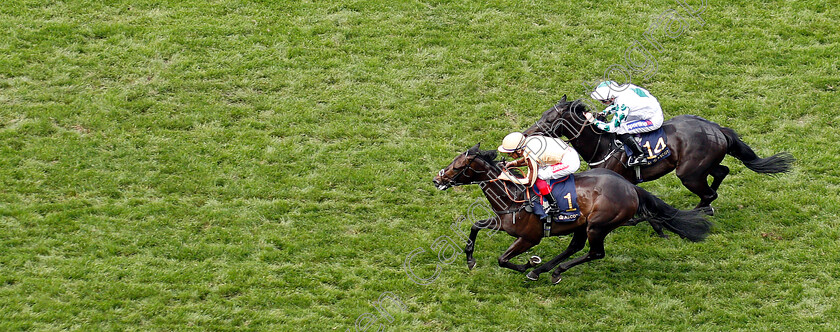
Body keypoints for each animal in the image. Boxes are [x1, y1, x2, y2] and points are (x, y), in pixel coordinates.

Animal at [434, 144, 708, 284]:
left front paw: (526, 264)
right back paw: (542, 270)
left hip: (598, 225)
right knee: (575, 247)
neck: (512, 195)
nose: (438, 179)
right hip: (581, 225)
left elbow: (502, 259)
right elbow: (475, 225)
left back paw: (550, 271)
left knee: (595, 252)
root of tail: (631, 188)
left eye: (458, 167)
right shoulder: (503, 222)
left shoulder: (529, 237)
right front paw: (470, 259)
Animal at [524, 96, 796, 215]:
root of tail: (718, 129)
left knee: (709, 192)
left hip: (689, 173)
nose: (528, 133)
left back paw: (698, 211)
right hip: (702, 166)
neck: (603, 144)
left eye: (549, 119)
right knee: (721, 172)